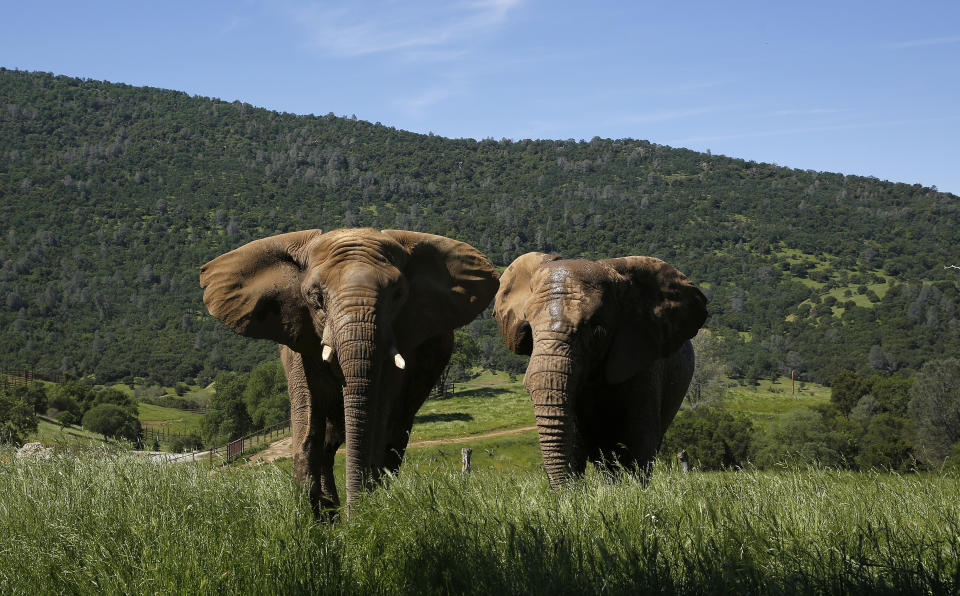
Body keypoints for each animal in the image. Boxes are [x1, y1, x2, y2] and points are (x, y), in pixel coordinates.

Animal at [202, 226, 502, 516]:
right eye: (316, 298)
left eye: (397, 296)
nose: (354, 515)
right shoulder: (297, 338)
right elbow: (307, 416)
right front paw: (311, 518)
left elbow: (379, 418)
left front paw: (364, 514)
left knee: (394, 434)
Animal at [496, 251, 704, 488]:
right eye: (529, 328)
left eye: (597, 330)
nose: (561, 491)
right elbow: (574, 439)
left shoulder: (645, 365)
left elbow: (640, 439)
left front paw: (637, 491)